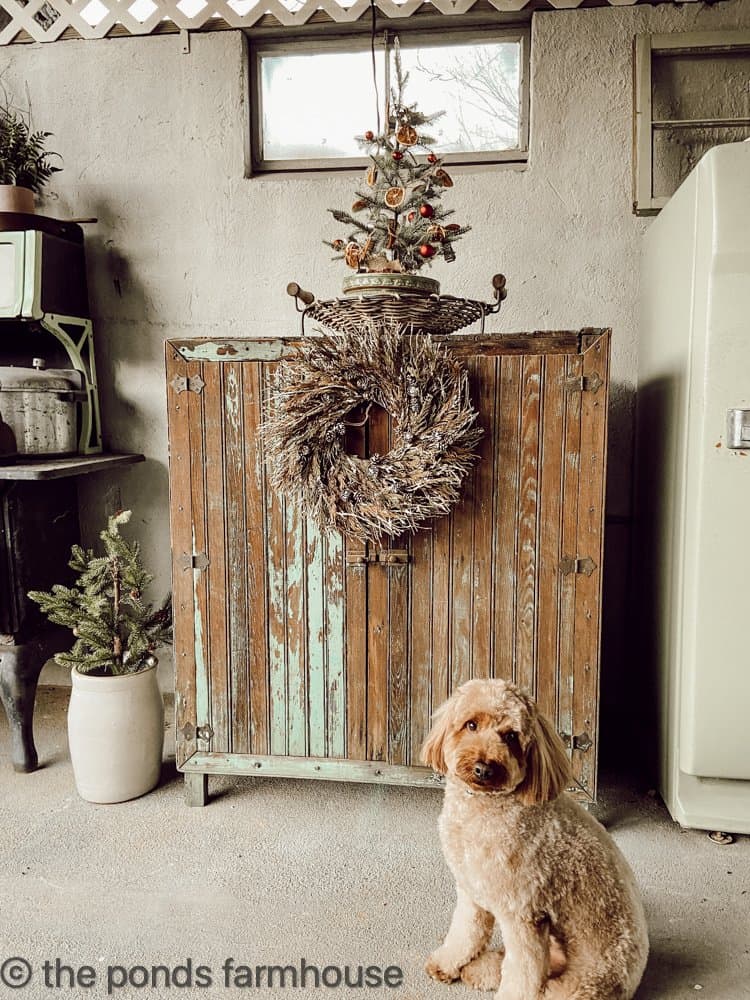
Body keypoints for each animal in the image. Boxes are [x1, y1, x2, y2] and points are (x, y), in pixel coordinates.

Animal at [420, 680, 648, 1000]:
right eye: (471, 724)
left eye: (511, 736)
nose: (483, 768)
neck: (484, 809)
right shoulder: (472, 893)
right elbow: (465, 933)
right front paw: (446, 963)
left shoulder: (523, 915)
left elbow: (522, 974)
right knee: (504, 963)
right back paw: (478, 969)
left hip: (575, 985)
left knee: (538, 984)